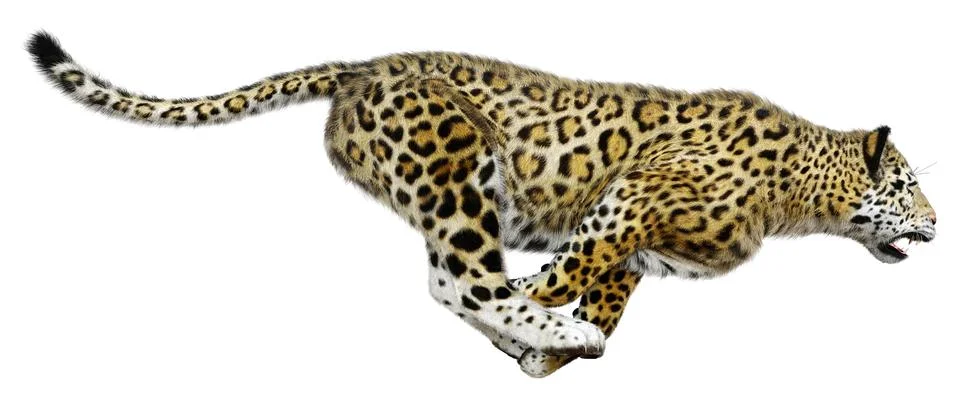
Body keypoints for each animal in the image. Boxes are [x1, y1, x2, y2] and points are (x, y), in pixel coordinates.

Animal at [28, 31, 937, 378]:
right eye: (908, 185)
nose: (936, 222)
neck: (802, 199)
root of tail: (364, 66)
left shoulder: (640, 243)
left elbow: (607, 294)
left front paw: (551, 349)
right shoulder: (625, 201)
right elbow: (561, 277)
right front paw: (548, 332)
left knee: (451, 278)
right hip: (459, 166)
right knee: (456, 279)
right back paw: (526, 320)